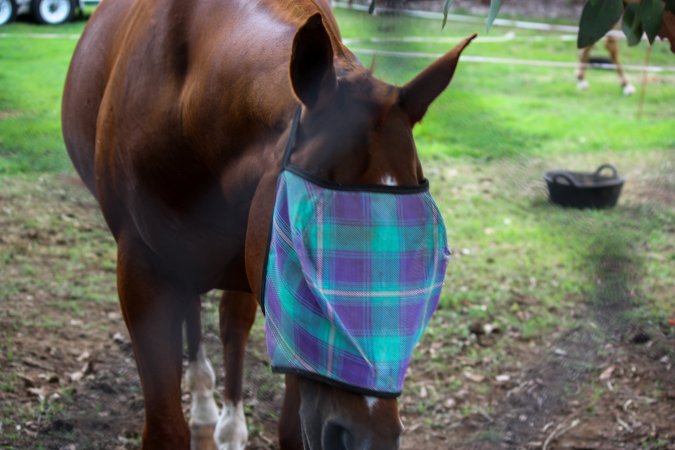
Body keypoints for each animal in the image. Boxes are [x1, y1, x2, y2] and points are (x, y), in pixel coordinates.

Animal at [62, 0, 474, 448]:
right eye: (303, 240)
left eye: (427, 251)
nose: (369, 438)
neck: (187, 102)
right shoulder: (142, 274)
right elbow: (165, 429)